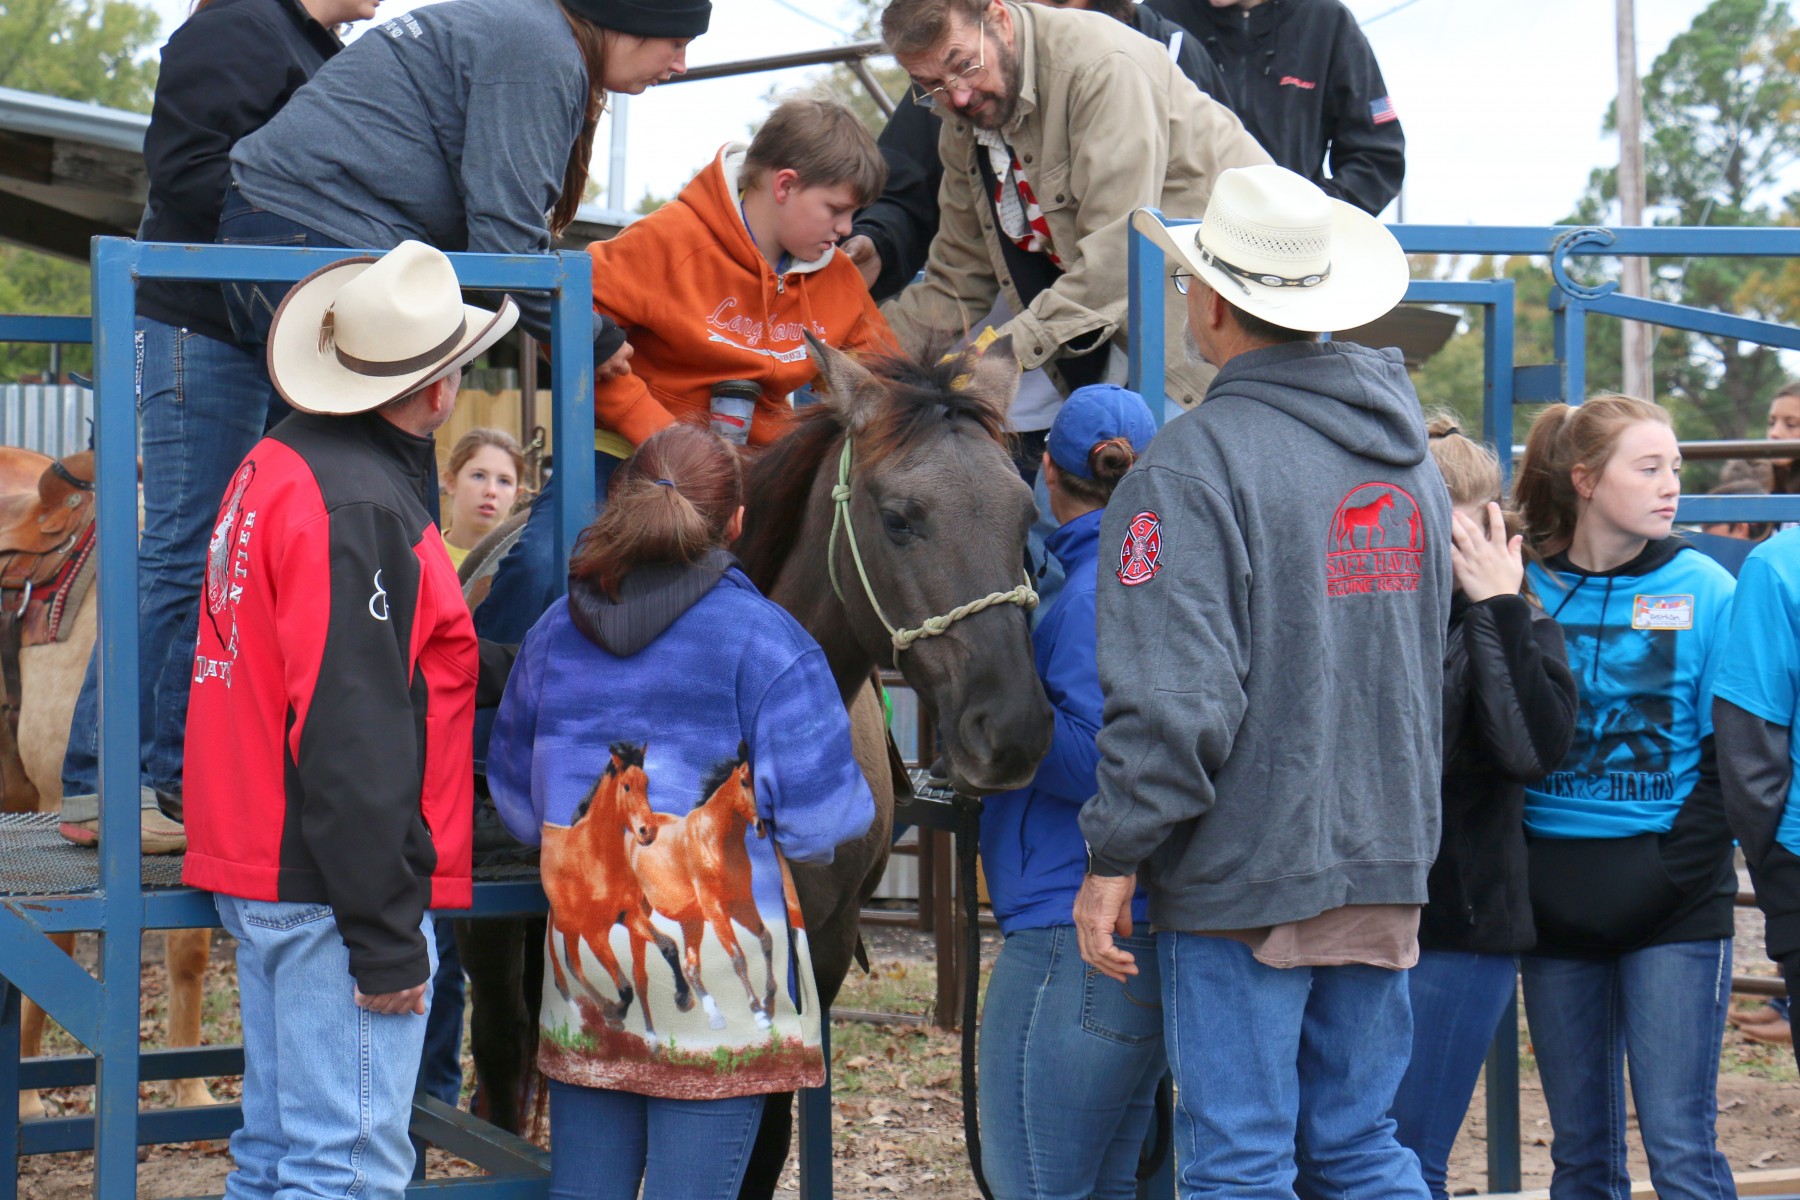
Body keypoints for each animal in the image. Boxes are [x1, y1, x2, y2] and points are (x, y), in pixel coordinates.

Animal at [539, 741, 692, 1041]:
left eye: (646, 783)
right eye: (626, 786)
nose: (647, 831)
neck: (595, 859)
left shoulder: (629, 915)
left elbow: (668, 945)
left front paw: (683, 997)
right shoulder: (595, 932)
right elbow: (625, 987)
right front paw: (616, 1011)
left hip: (570, 928)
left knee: (571, 965)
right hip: (571, 927)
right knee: (571, 967)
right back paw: (608, 1012)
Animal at [627, 744, 776, 1032]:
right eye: (744, 781)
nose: (761, 827)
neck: (714, 840)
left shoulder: (741, 904)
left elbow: (765, 940)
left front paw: (769, 1000)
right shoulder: (717, 910)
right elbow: (737, 957)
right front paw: (759, 1013)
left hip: (691, 920)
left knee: (690, 966)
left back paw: (712, 1015)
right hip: (644, 910)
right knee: (642, 951)